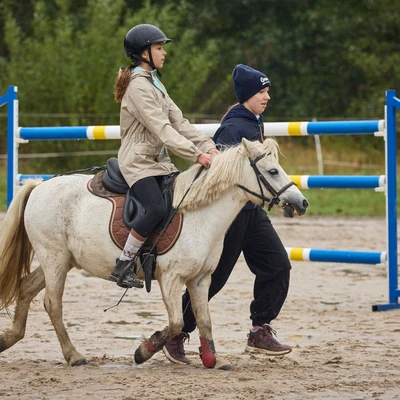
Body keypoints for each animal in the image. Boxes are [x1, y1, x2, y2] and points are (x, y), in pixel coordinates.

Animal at [0, 138, 308, 368]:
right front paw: (144, 350)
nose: (301, 202)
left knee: (25, 288)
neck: (199, 214)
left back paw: (8, 338)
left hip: (62, 261)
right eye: (272, 171)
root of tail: (39, 185)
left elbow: (204, 319)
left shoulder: (200, 279)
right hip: (54, 258)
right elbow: (176, 322)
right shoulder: (171, 279)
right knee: (52, 304)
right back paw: (73, 355)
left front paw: (213, 360)